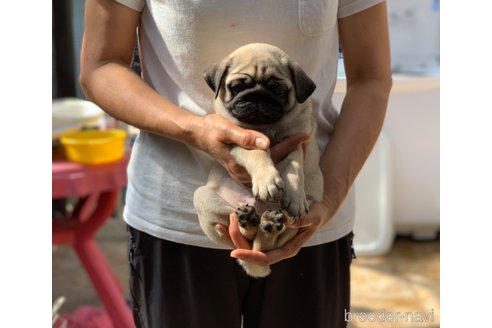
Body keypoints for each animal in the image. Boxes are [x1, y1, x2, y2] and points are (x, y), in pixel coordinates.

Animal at [194, 43, 324, 278]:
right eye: (237, 86)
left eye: (278, 89)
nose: (257, 97)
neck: (265, 127)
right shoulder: (239, 140)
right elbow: (258, 151)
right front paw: (267, 180)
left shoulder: (295, 144)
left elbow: (294, 170)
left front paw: (295, 196)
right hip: (204, 198)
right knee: (243, 234)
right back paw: (250, 219)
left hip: (295, 220)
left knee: (262, 243)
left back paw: (268, 224)